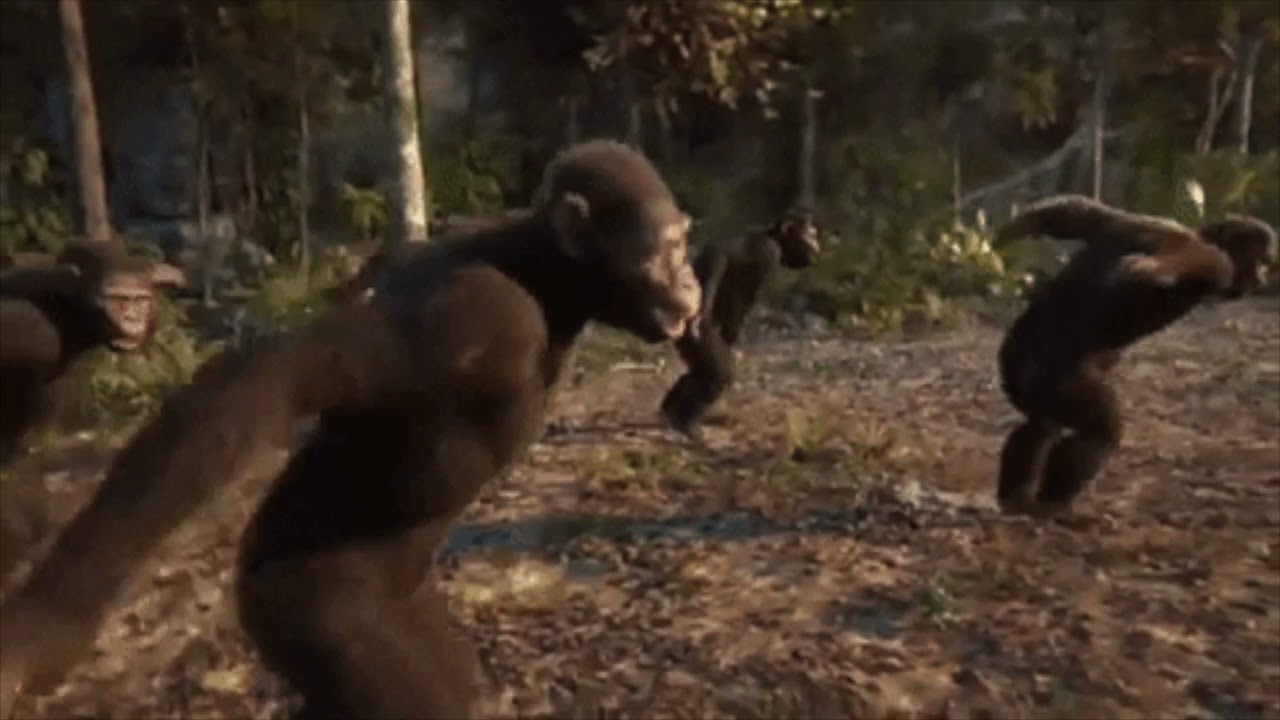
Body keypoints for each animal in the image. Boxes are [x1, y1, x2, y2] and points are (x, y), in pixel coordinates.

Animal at [0, 140, 701, 720]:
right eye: (666, 248)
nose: (690, 275)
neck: (544, 277)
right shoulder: (472, 315)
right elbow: (268, 378)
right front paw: (42, 633)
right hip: (316, 613)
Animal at [660, 207, 822, 435]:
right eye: (810, 233)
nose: (817, 241)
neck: (773, 236)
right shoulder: (766, 252)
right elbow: (723, 256)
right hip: (699, 338)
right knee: (718, 373)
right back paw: (686, 423)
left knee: (701, 373)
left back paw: (671, 413)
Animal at [993, 194, 1277, 519]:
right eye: (1261, 260)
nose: (1262, 277)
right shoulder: (1211, 260)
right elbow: (1154, 268)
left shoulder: (1142, 222)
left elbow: (1073, 213)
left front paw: (1007, 234)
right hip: (1059, 383)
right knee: (1099, 433)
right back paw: (1056, 505)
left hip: (1019, 374)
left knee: (1040, 426)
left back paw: (1016, 498)